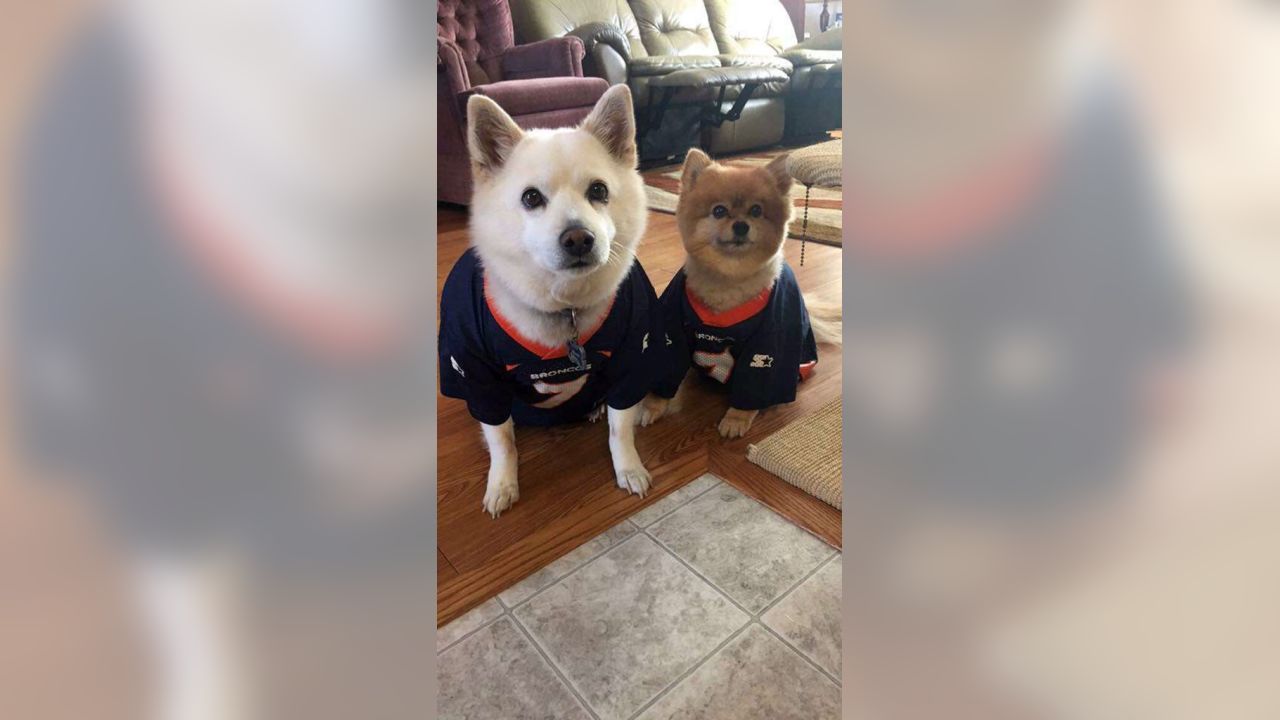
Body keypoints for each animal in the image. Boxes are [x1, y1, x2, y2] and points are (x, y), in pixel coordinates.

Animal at [440, 85, 665, 515]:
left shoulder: (633, 359)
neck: (566, 308)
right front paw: (502, 482)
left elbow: (621, 427)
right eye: (531, 198)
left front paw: (627, 466)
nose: (578, 238)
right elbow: (502, 440)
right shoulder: (478, 379)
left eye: (599, 191)